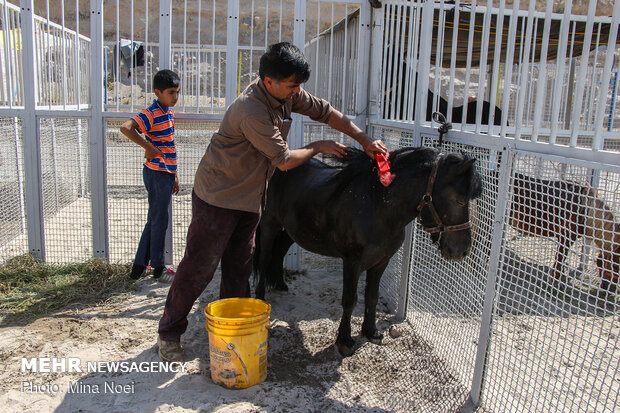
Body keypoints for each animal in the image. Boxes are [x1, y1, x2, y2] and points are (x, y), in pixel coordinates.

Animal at [254, 146, 482, 356]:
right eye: (459, 200)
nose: (462, 250)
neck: (378, 206)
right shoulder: (352, 262)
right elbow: (350, 299)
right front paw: (345, 340)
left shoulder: (381, 261)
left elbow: (372, 295)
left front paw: (371, 331)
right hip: (269, 224)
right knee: (264, 258)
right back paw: (260, 298)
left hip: (292, 230)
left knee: (279, 251)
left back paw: (281, 284)